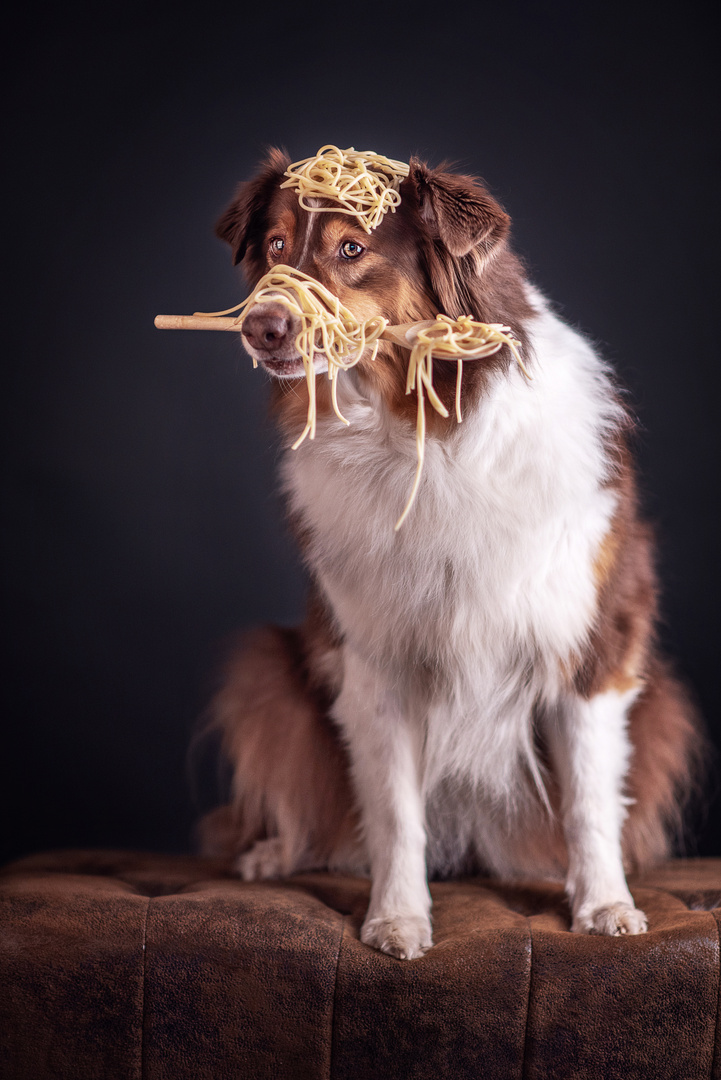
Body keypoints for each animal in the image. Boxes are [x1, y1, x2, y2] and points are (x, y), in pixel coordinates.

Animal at [195, 147, 699, 959]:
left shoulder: (592, 639)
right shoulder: (374, 656)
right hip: (267, 669)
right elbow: (395, 809)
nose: (261, 328)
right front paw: (397, 918)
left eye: (351, 249)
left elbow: (590, 798)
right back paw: (277, 853)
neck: (419, 433)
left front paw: (604, 906)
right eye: (273, 247)